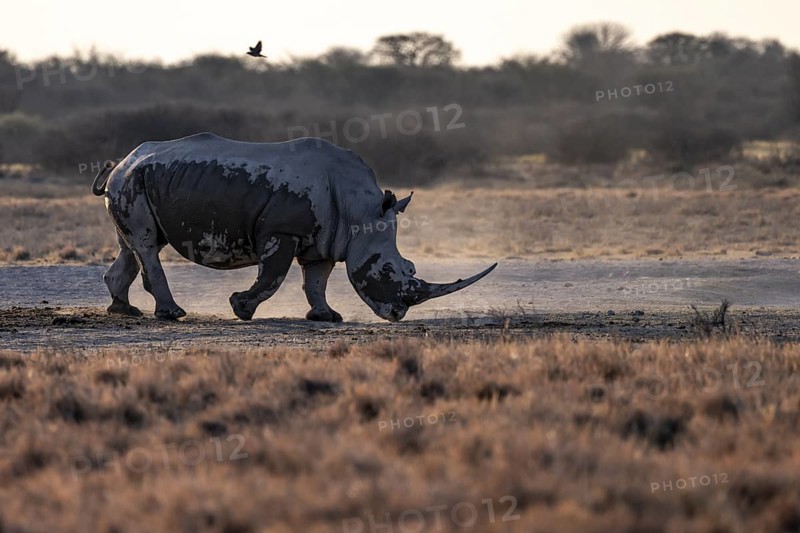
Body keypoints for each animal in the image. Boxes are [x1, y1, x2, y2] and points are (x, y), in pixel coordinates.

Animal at [92, 133, 496, 322]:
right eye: (389, 270)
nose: (398, 315)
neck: (360, 208)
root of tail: (122, 161)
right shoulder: (281, 231)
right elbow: (272, 276)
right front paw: (241, 309)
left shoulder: (327, 240)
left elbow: (315, 281)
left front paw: (327, 318)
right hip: (133, 181)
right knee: (146, 245)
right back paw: (173, 314)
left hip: (138, 181)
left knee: (134, 244)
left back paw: (124, 311)